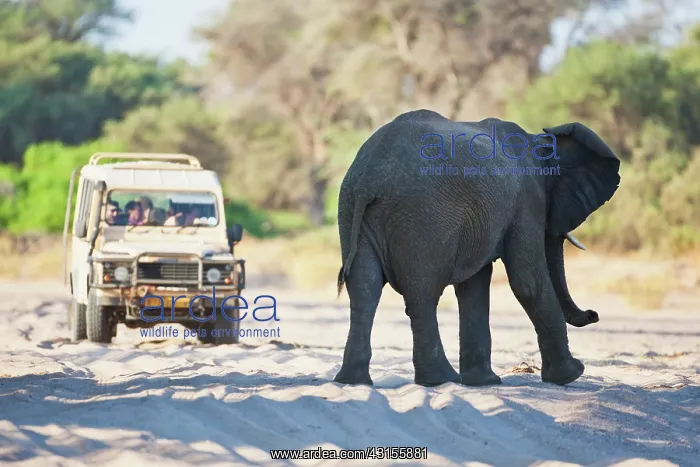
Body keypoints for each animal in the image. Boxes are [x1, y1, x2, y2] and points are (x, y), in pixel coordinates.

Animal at [334, 109, 620, 387]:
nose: (593, 314)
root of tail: (370, 176)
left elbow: (474, 287)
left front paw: (483, 382)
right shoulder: (527, 201)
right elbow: (528, 282)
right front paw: (571, 375)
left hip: (351, 208)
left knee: (365, 288)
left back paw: (353, 381)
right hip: (422, 218)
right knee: (422, 292)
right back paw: (441, 379)